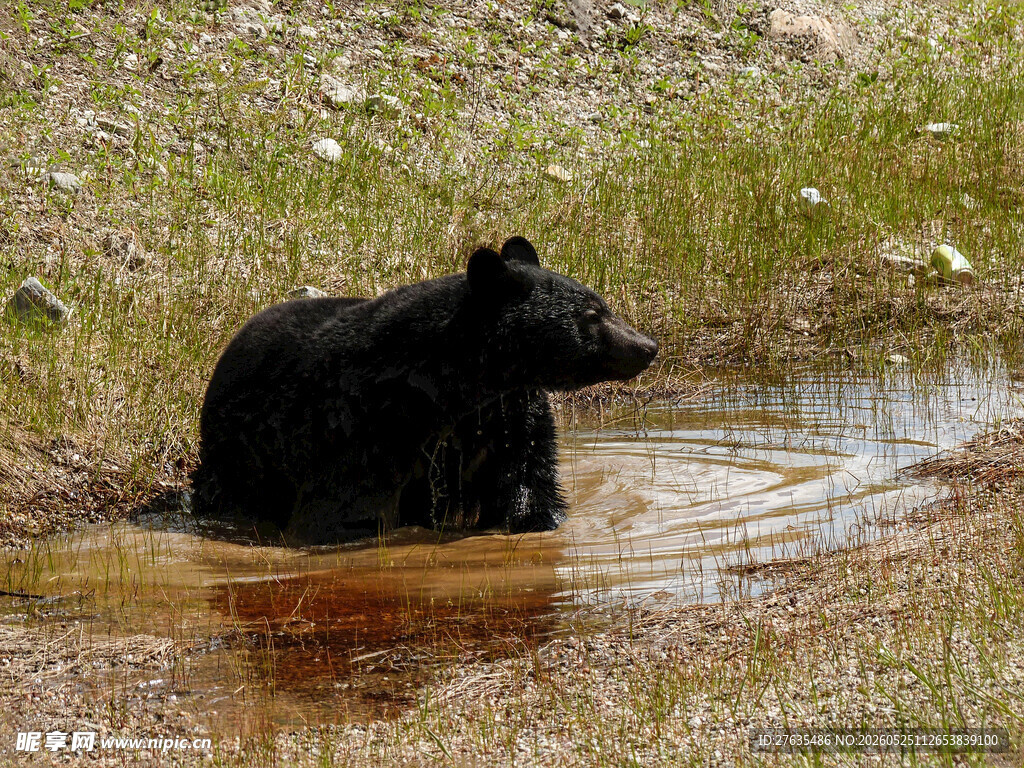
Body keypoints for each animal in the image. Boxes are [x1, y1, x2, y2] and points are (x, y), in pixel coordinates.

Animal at [191, 236, 658, 543]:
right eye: (591, 315)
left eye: (602, 304)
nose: (647, 346)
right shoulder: (359, 427)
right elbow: (343, 508)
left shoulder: (512, 412)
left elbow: (527, 479)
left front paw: (534, 520)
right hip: (237, 454)